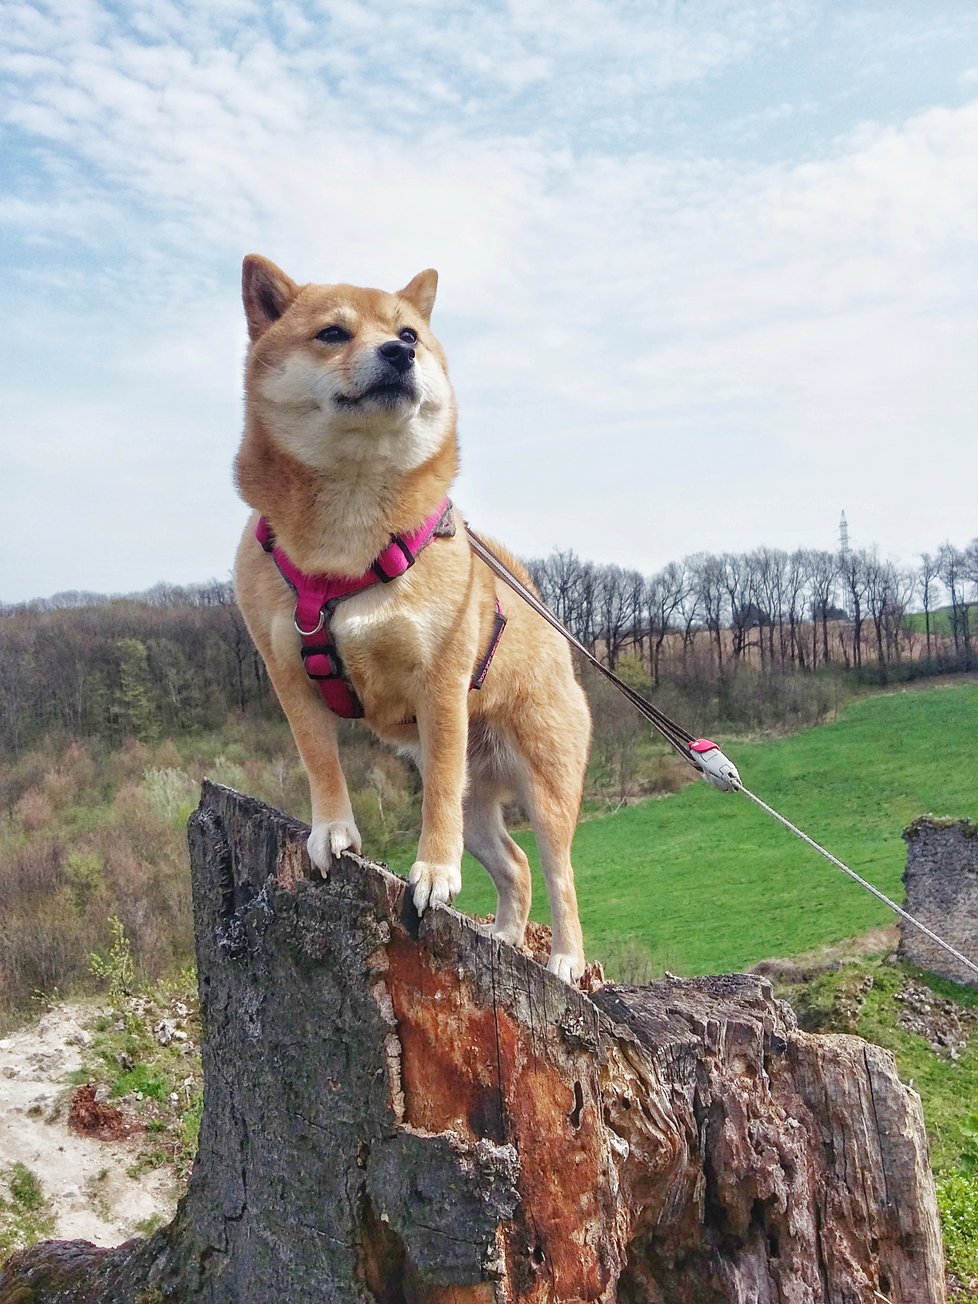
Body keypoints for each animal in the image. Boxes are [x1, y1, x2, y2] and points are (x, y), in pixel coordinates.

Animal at [233, 256, 594, 980]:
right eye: (333, 332)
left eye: (408, 334)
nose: (399, 354)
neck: (348, 542)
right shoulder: (288, 676)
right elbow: (320, 761)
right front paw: (333, 831)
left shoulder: (441, 684)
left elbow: (436, 809)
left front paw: (432, 870)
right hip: (481, 799)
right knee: (515, 866)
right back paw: (504, 938)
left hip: (544, 782)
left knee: (557, 871)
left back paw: (566, 959)